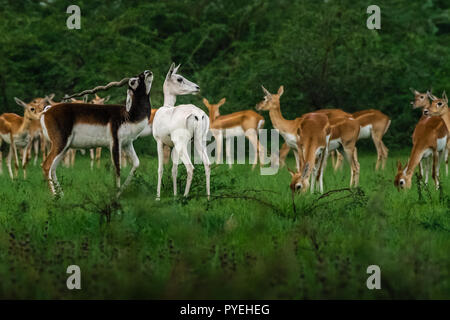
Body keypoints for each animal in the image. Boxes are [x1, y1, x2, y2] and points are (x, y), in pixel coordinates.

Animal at [42, 69, 155, 198]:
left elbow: (136, 163)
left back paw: (62, 197)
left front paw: (120, 192)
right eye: (133, 81)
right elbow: (117, 168)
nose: (147, 72)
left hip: (65, 147)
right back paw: (54, 197)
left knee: (53, 168)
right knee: (46, 166)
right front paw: (115, 196)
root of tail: (47, 111)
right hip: (60, 143)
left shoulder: (127, 143)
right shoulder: (114, 142)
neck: (128, 115)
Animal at [153, 62, 211, 199]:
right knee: (207, 164)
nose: (197, 87)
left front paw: (157, 197)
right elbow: (174, 170)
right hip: (199, 141)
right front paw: (174, 195)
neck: (167, 108)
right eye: (179, 78)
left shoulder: (159, 141)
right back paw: (208, 197)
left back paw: (185, 196)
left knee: (190, 167)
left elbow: (160, 169)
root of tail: (198, 114)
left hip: (182, 143)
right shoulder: (172, 146)